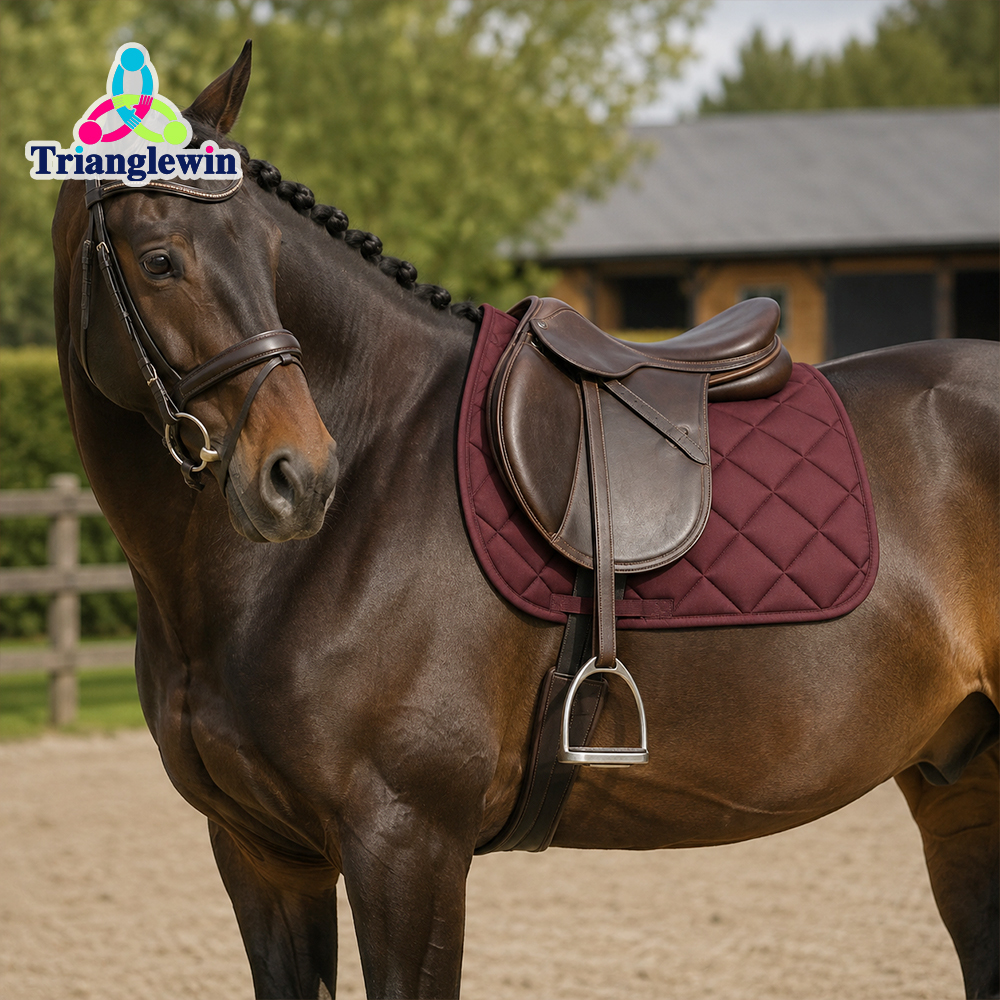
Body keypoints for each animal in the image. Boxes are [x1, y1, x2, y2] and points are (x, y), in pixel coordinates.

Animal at [52, 47, 998, 999]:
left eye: (271, 254)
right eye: (160, 260)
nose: (299, 478)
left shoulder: (407, 845)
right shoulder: (262, 856)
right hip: (961, 783)